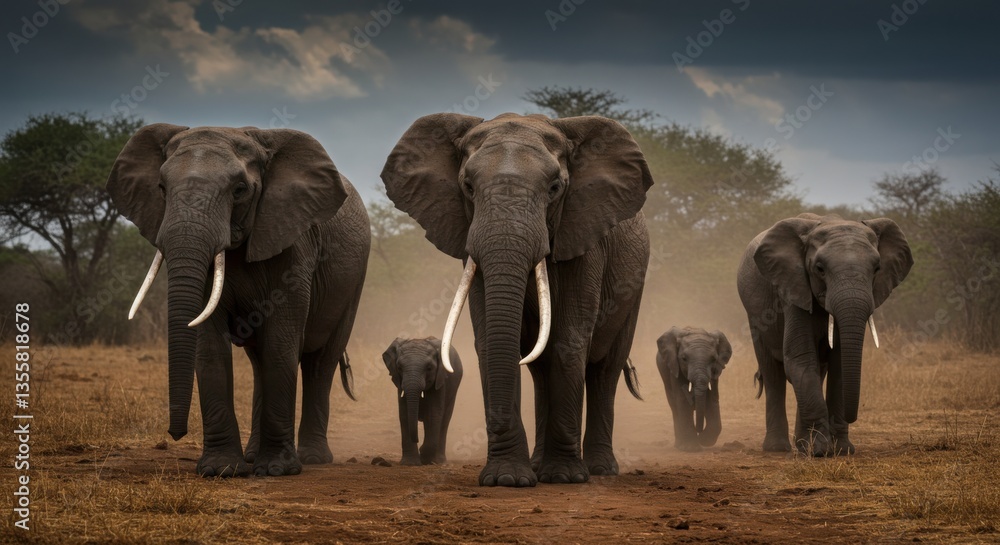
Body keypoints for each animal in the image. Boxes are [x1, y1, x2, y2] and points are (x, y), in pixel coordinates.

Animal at [106, 124, 370, 476]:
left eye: (240, 190)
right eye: (161, 188)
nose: (175, 434)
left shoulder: (294, 241)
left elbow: (282, 342)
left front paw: (277, 470)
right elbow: (210, 345)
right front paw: (221, 470)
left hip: (354, 281)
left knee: (320, 361)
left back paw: (313, 458)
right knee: (261, 362)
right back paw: (252, 456)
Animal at [381, 112, 651, 487]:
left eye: (555, 188)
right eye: (467, 187)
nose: (494, 426)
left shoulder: (584, 238)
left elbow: (569, 340)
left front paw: (564, 477)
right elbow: (492, 340)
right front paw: (506, 479)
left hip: (634, 285)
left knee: (605, 369)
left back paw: (599, 469)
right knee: (541, 371)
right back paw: (539, 466)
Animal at [736, 213, 912, 456]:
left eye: (877, 269)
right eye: (819, 269)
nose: (852, 416)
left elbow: (839, 366)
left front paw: (841, 450)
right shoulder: (793, 291)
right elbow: (800, 360)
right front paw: (820, 451)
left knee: (816, 372)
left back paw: (802, 445)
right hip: (755, 315)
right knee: (773, 373)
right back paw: (778, 448)